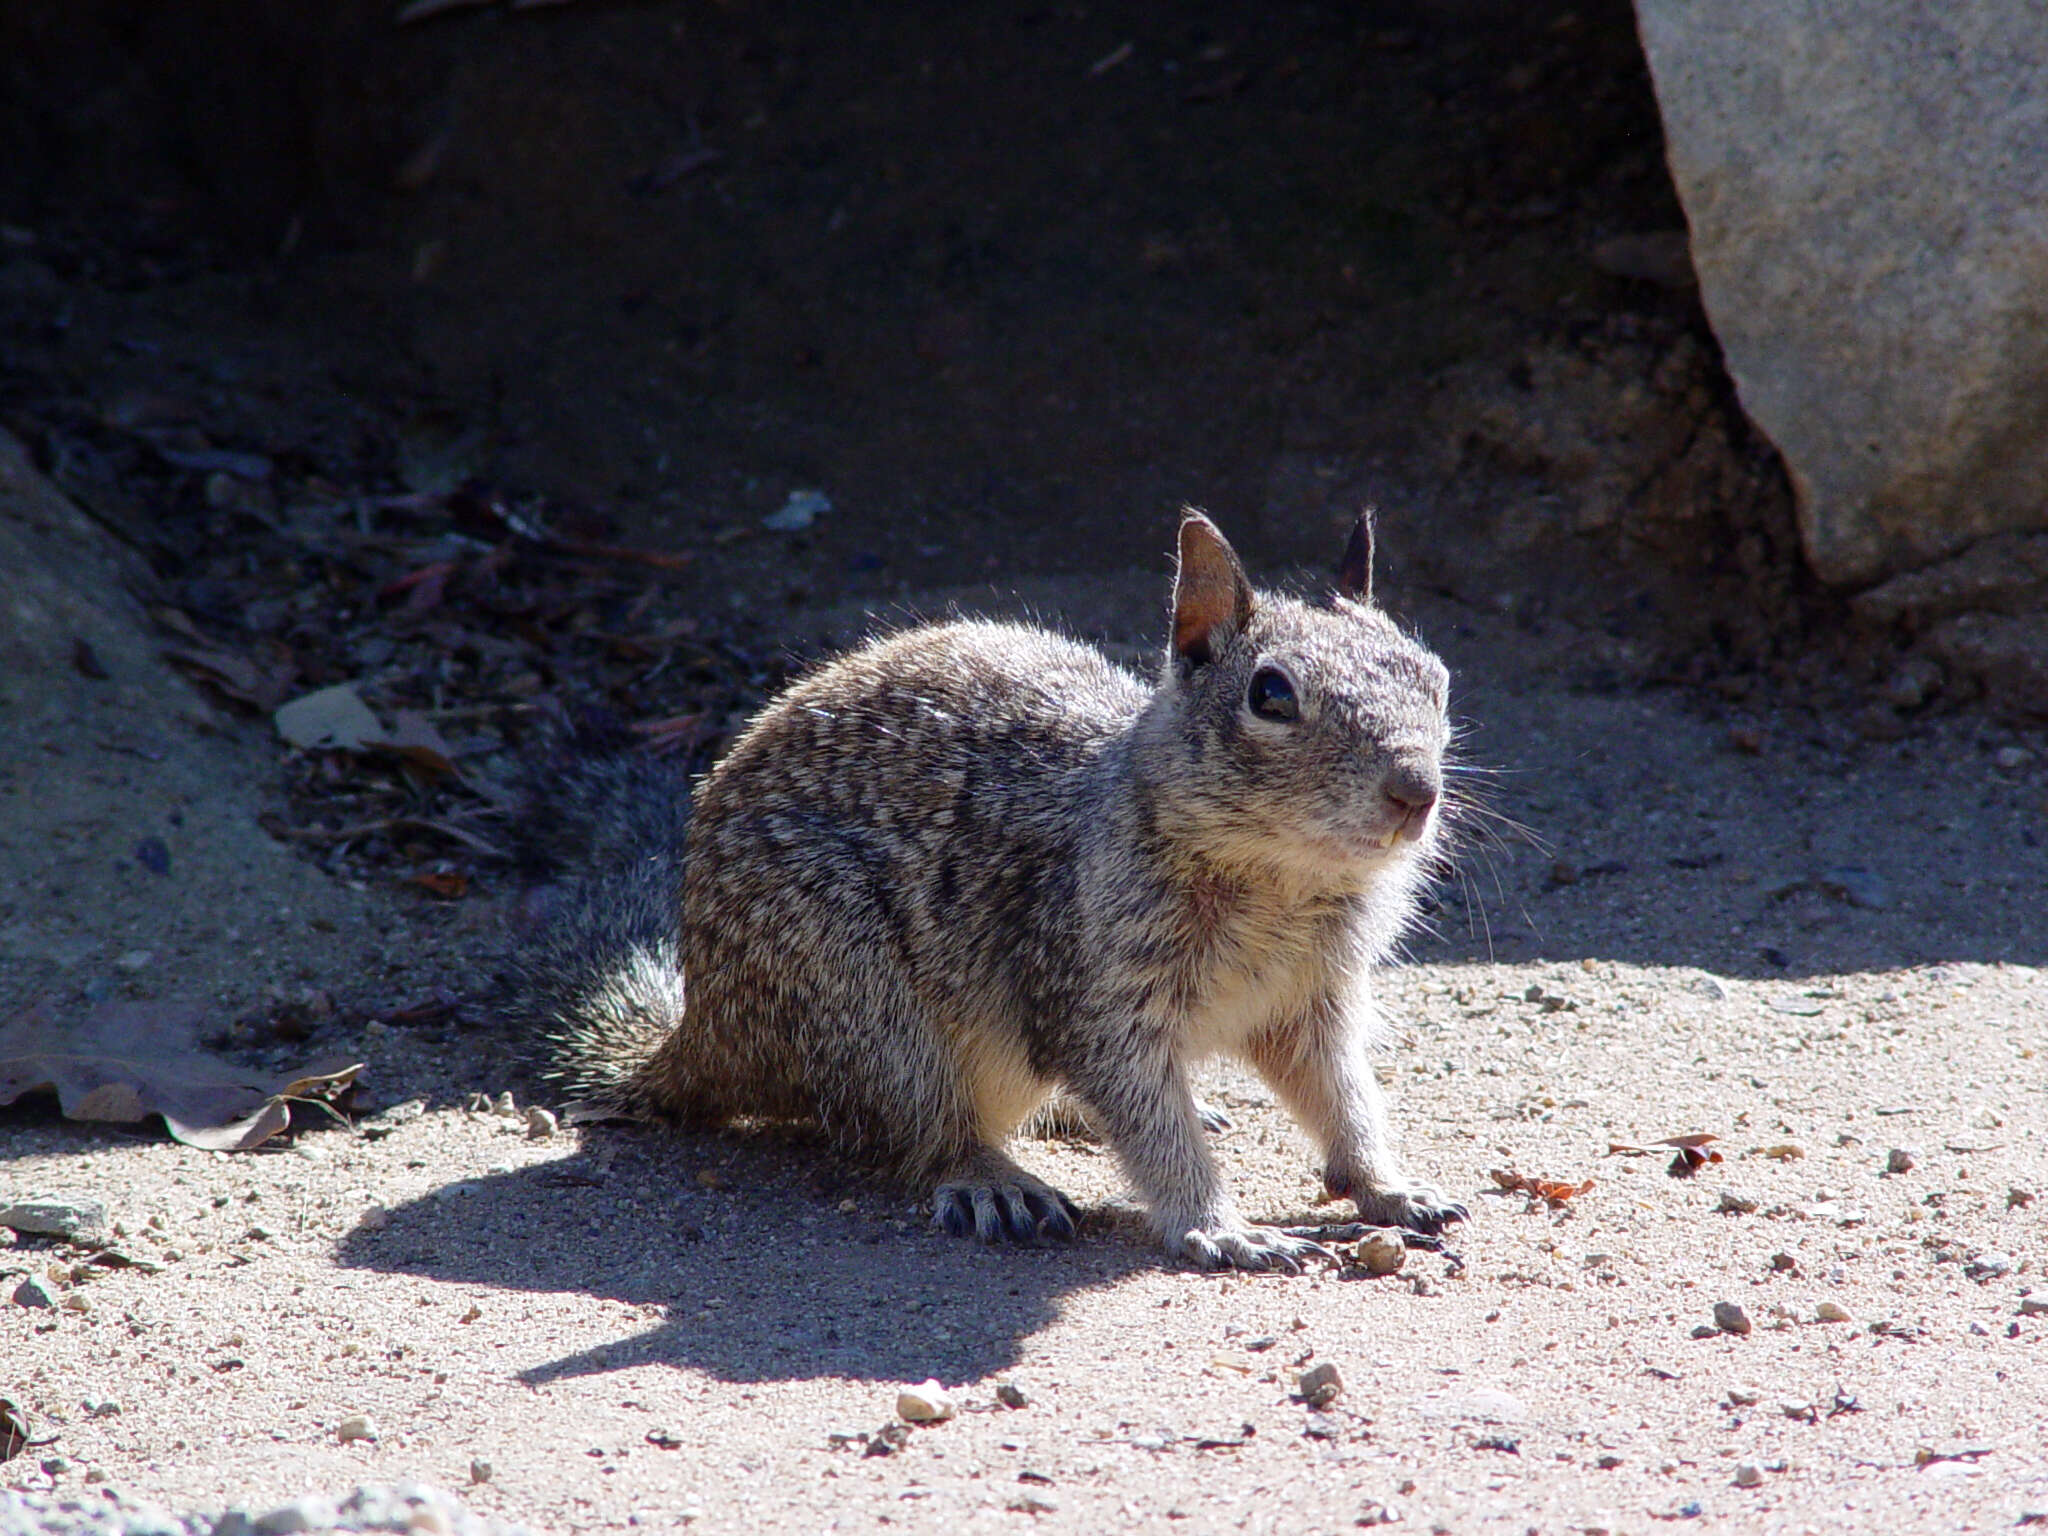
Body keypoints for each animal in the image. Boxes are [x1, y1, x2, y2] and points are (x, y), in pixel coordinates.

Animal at [512, 512, 1474, 1269]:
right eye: (1270, 695)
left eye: (1435, 674)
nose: (1415, 791)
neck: (1283, 881)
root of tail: (702, 1031)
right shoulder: (1095, 996)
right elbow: (1153, 1125)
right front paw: (1219, 1227)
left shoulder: (1313, 1003)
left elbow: (1345, 1096)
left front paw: (1390, 1186)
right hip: (865, 1011)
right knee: (919, 1135)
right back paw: (994, 1179)